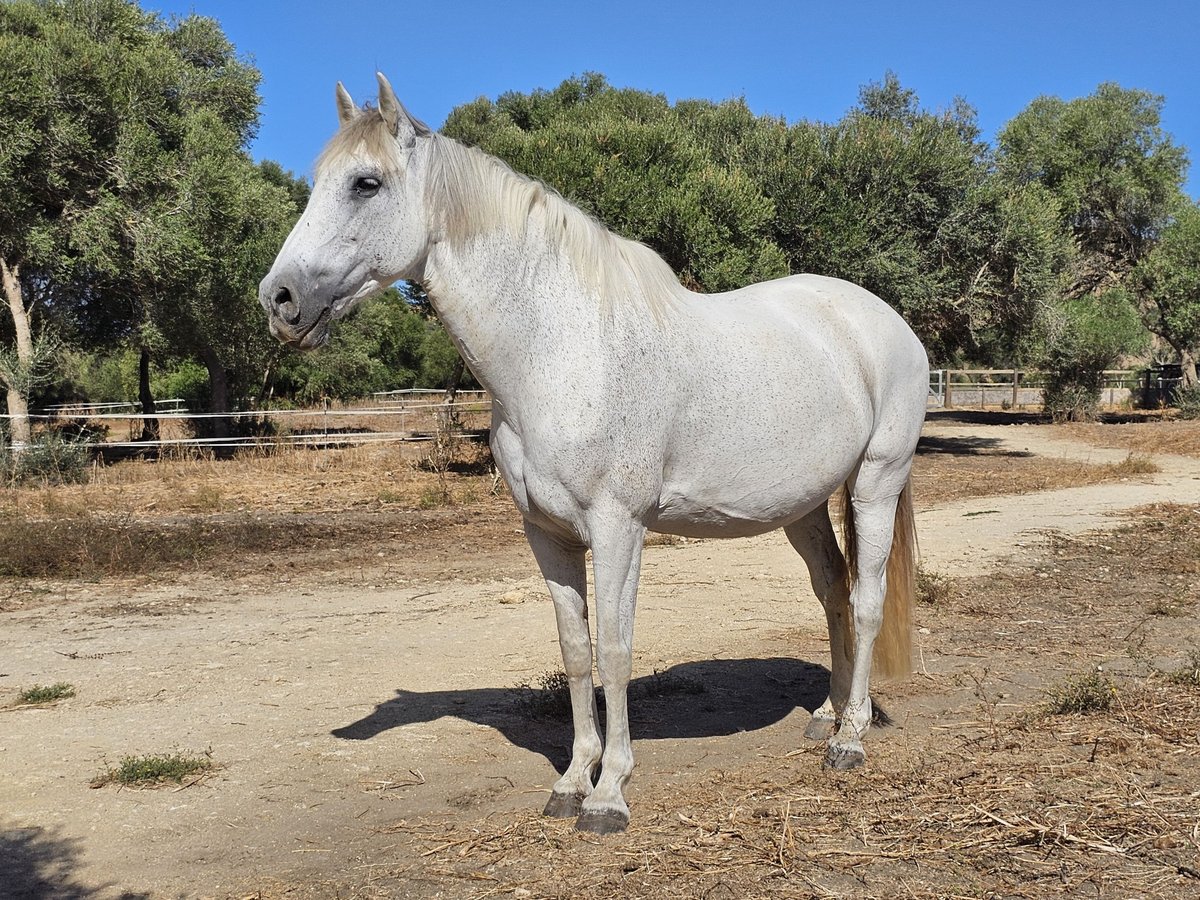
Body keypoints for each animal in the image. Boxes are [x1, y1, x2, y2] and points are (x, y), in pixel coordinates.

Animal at [265, 74, 926, 835]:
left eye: (365, 183)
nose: (279, 300)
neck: (559, 352)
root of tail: (886, 320)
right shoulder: (547, 536)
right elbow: (576, 652)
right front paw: (571, 781)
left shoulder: (619, 530)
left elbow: (615, 648)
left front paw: (610, 793)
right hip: (805, 505)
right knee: (833, 592)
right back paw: (824, 715)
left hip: (875, 483)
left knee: (867, 599)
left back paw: (849, 738)